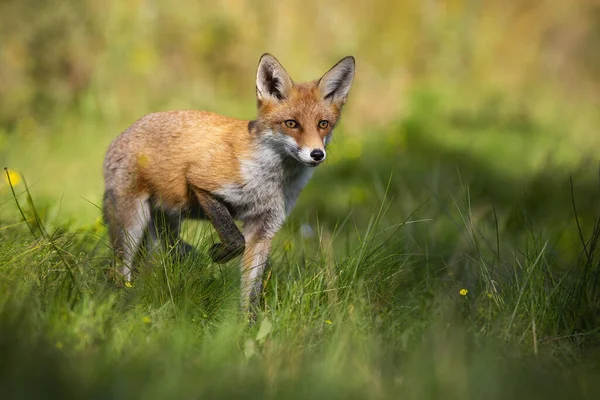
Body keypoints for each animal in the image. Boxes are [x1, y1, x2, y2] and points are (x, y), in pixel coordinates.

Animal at [103, 54, 354, 306]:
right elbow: (235, 239)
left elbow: (251, 290)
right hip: (132, 224)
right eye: (291, 123)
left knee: (159, 259)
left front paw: (247, 318)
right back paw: (121, 299)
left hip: (166, 225)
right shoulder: (202, 183)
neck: (268, 182)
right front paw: (217, 253)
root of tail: (122, 134)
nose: (317, 154)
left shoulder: (264, 226)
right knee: (119, 270)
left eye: (323, 124)